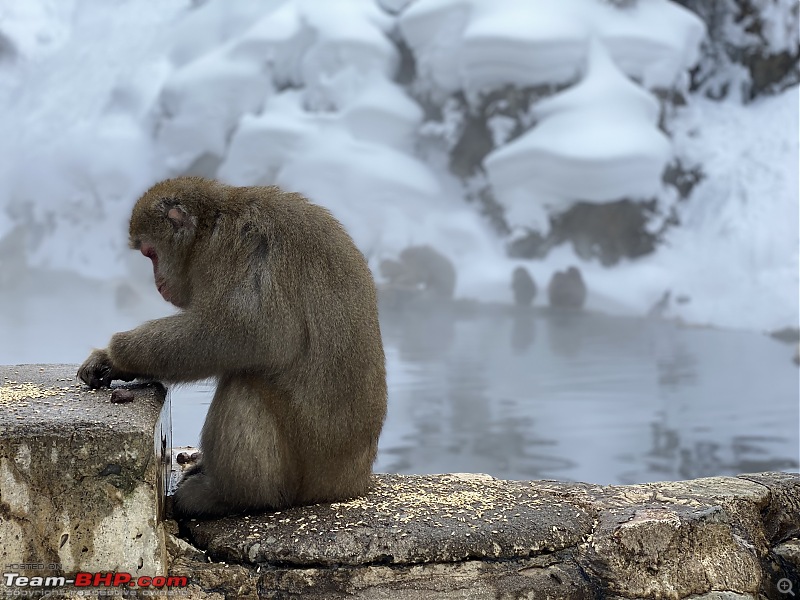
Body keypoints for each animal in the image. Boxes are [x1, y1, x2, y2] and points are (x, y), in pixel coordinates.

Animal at [77, 176, 388, 516]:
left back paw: (231, 497)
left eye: (151, 254)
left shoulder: (240, 246)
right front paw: (108, 362)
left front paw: (118, 353)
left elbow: (252, 334)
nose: (158, 284)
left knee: (245, 385)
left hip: (308, 466)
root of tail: (349, 483)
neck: (210, 228)